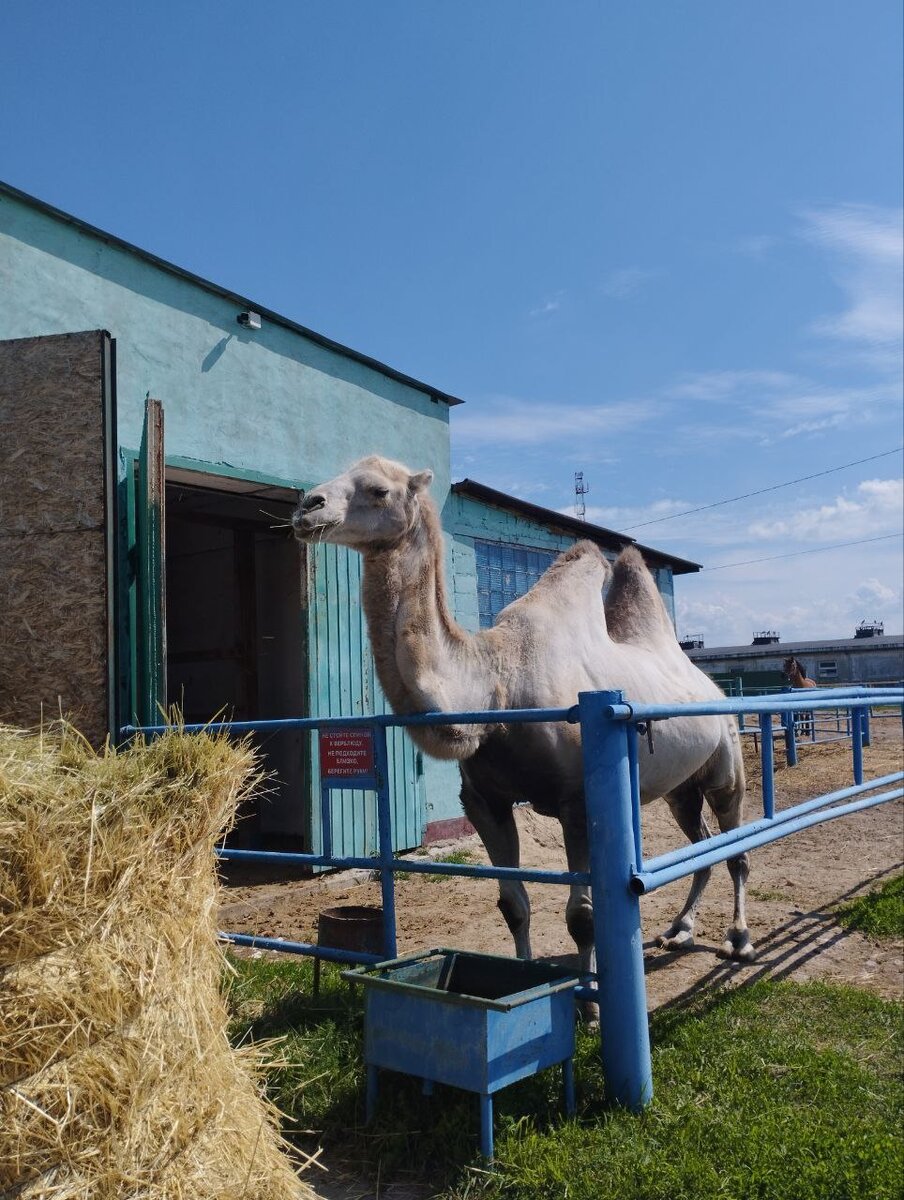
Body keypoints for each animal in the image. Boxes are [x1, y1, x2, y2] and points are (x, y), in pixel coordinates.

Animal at [290, 453, 753, 988]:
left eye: (379, 490)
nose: (307, 506)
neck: (497, 685)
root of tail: (714, 688)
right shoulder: (483, 800)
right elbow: (512, 903)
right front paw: (521, 976)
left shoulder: (577, 802)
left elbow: (583, 916)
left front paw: (589, 998)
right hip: (680, 786)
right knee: (701, 845)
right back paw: (679, 931)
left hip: (726, 759)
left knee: (736, 847)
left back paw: (739, 940)